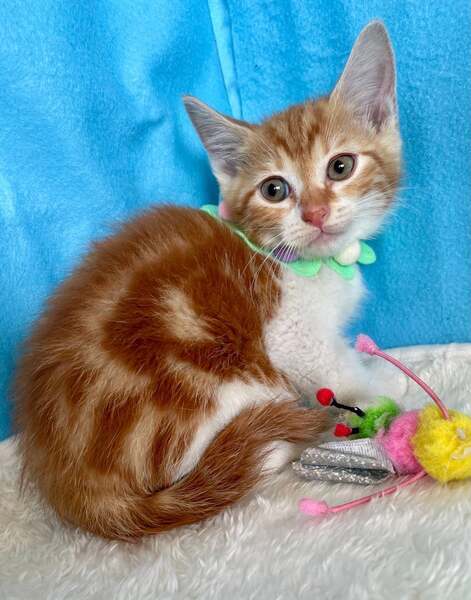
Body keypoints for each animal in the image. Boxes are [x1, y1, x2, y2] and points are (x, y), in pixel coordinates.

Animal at [14, 21, 401, 539]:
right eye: (274, 190)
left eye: (341, 166)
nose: (315, 213)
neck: (307, 262)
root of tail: (76, 488)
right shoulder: (290, 337)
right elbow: (335, 367)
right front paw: (379, 389)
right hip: (221, 383)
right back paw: (276, 445)